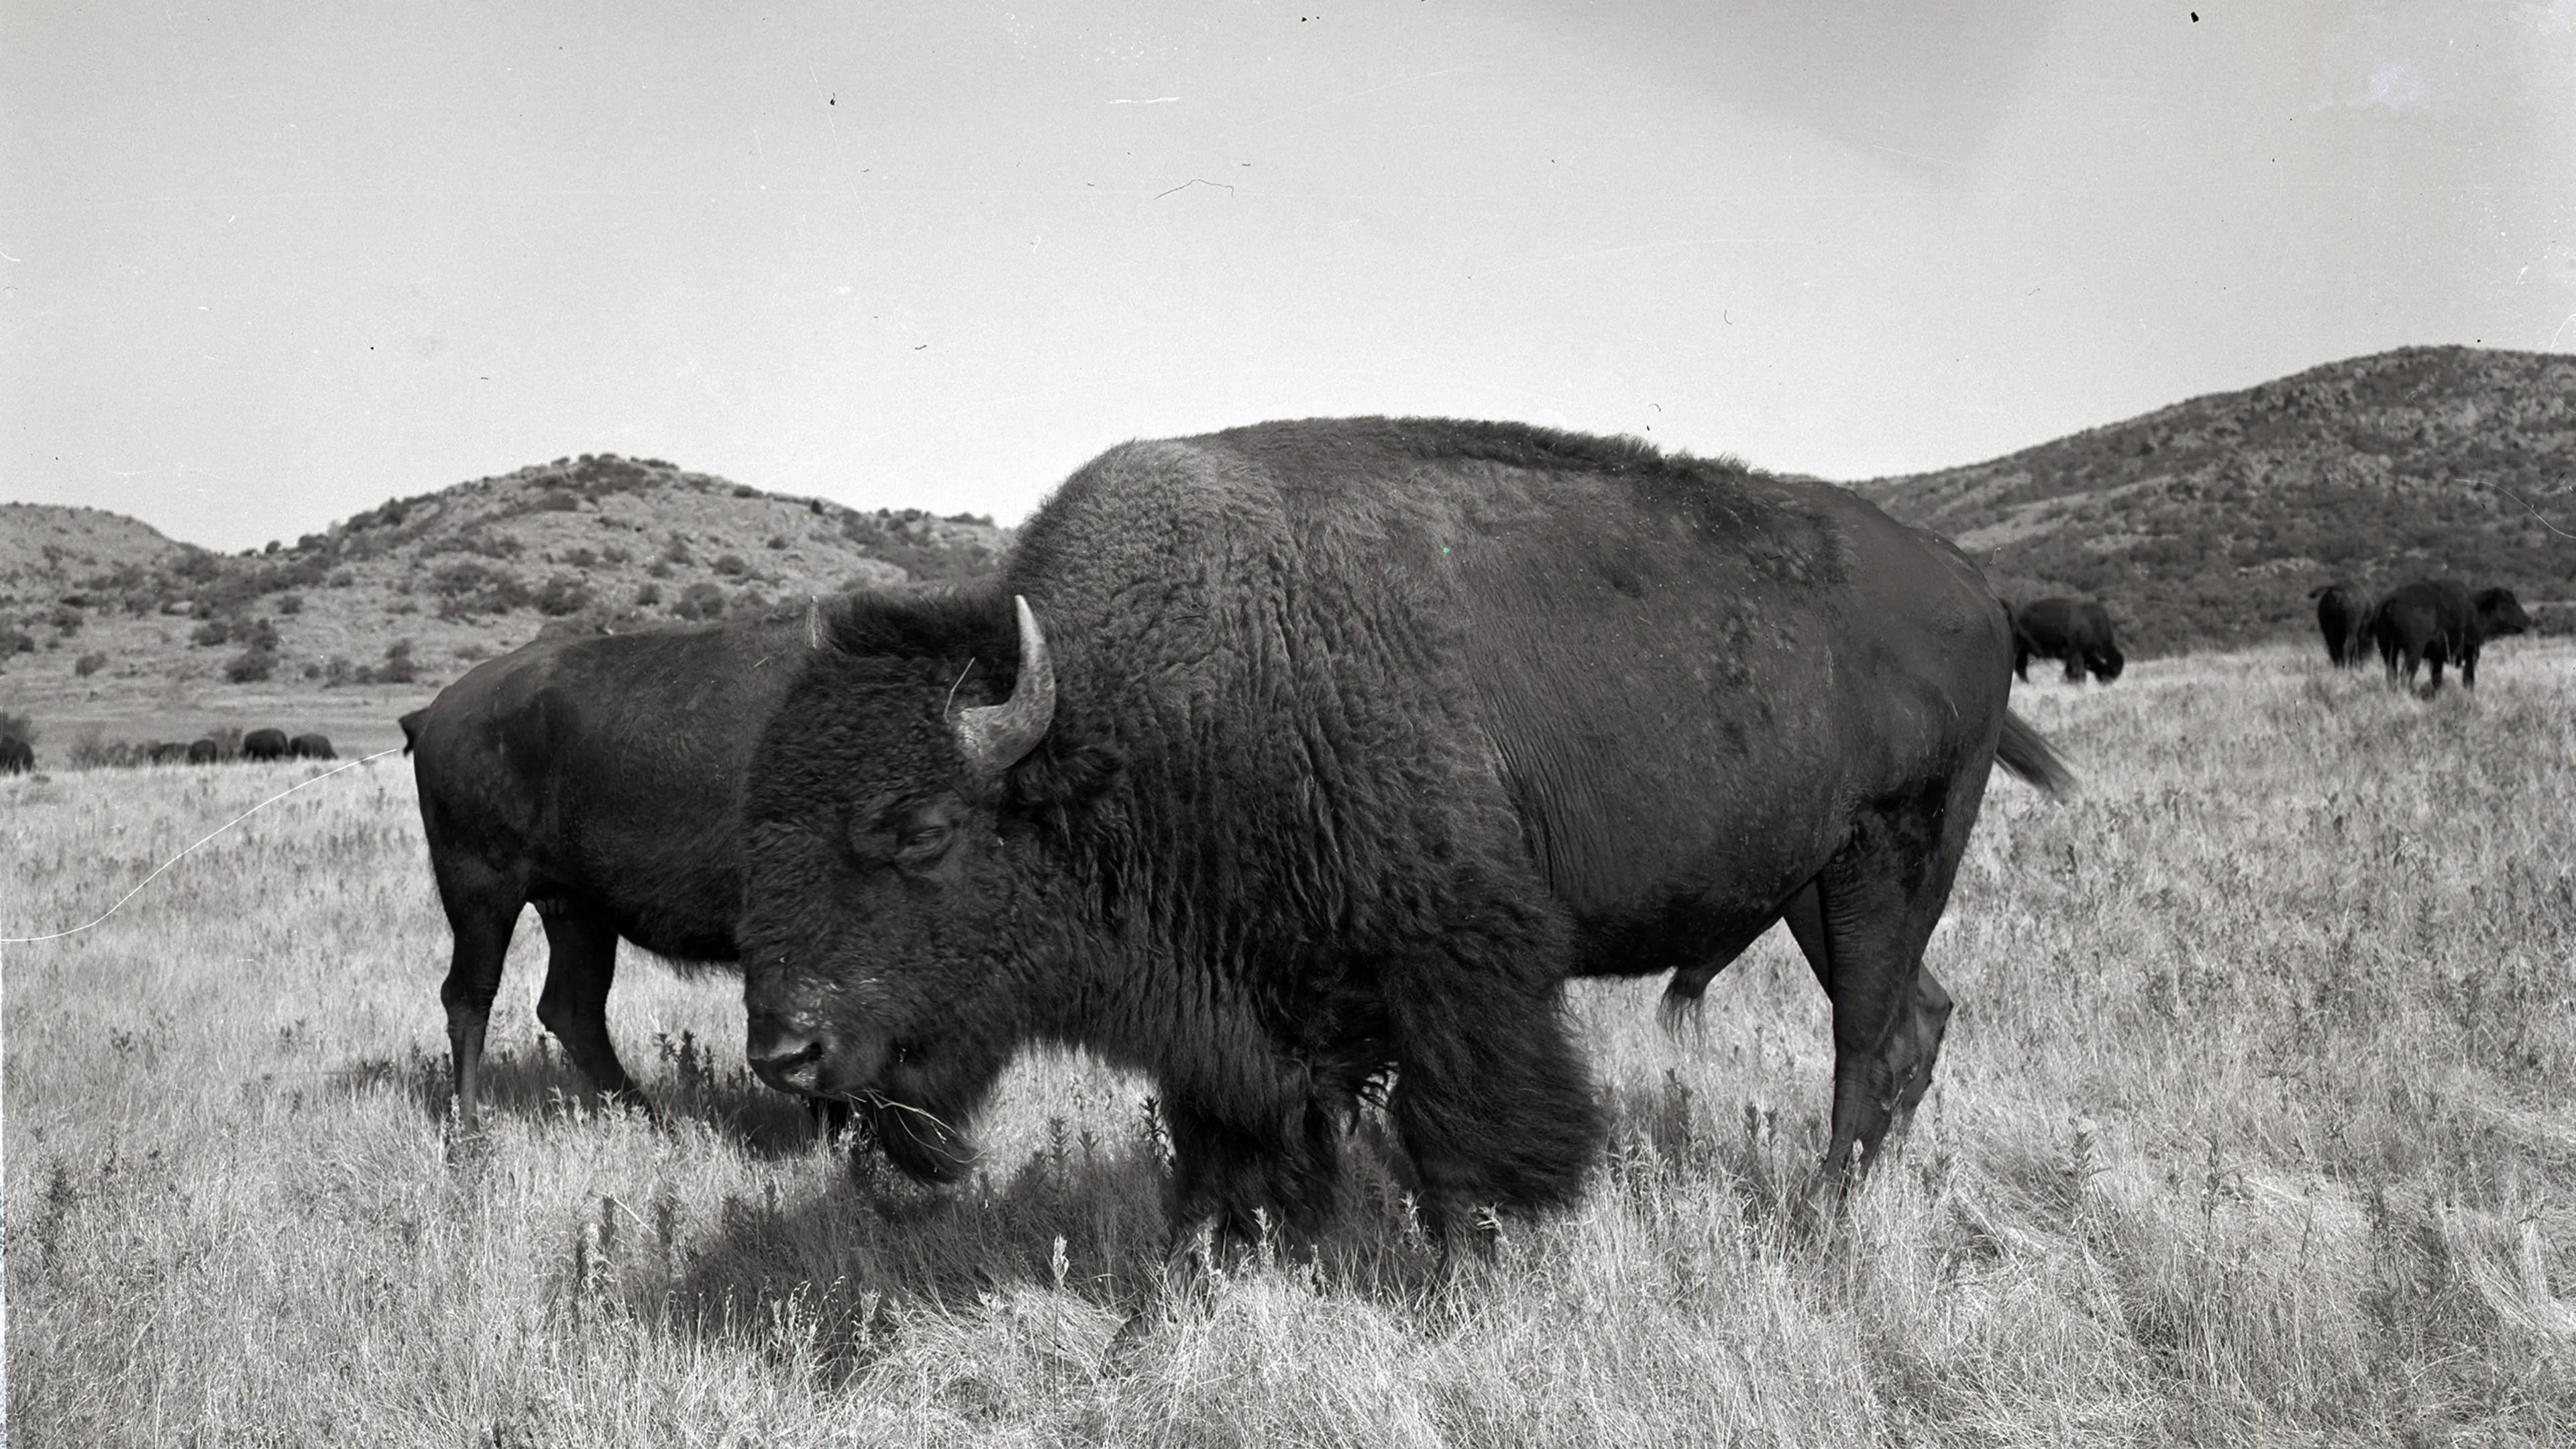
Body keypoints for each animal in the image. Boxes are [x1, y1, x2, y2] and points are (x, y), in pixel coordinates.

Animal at [402, 606, 829, 1126]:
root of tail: (441, 708)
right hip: (481, 895)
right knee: (470, 997)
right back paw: (470, 1130)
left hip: (576, 910)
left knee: (570, 1008)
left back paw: (652, 1119)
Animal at [737, 418, 2070, 1253]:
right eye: (761, 821)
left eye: (919, 829)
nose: (784, 1049)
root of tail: (1975, 585)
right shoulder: (1233, 1019)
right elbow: (1228, 1154)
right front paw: (1225, 1261)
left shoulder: (1462, 969)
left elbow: (1470, 1140)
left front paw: (1474, 1265)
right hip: (1815, 890)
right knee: (1915, 1020)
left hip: (1888, 862)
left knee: (1865, 1041)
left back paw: (1822, 1217)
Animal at [2010, 598, 2123, 683]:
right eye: (2109, 669)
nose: (2108, 682)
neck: (2091, 624)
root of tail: (2019, 614)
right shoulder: (2075, 652)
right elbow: (2077, 671)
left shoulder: (2077, 655)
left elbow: (2071, 671)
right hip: (2020, 648)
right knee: (2020, 667)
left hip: (2024, 650)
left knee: (2020, 667)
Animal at [2372, 580, 2531, 697]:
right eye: (2508, 603)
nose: (2527, 621)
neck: (2477, 607)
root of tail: (2391, 600)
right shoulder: (2472, 654)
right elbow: (2469, 679)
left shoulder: (2437, 659)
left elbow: (2437, 679)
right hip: (2414, 651)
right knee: (2406, 674)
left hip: (2388, 649)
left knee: (2391, 673)